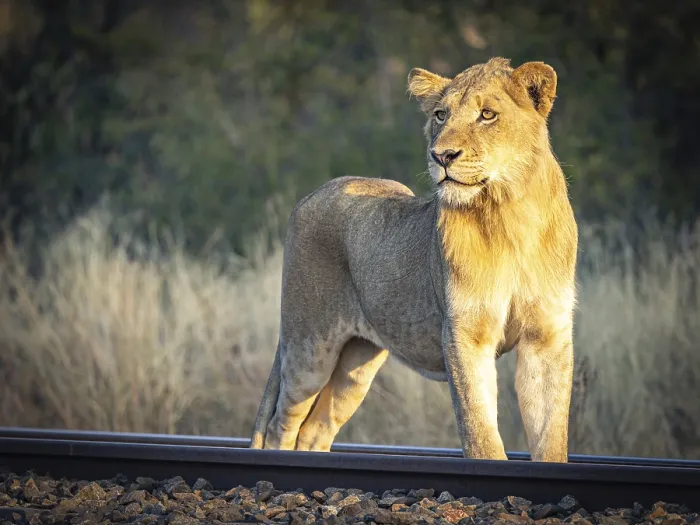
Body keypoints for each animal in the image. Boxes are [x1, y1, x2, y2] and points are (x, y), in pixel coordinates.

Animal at [250, 57, 578, 463]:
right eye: (440, 115)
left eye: (487, 114)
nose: (442, 156)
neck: (510, 214)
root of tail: (311, 194)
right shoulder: (464, 334)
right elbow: (480, 431)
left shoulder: (546, 337)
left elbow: (551, 437)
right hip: (309, 345)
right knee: (282, 424)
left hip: (356, 362)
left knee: (314, 430)